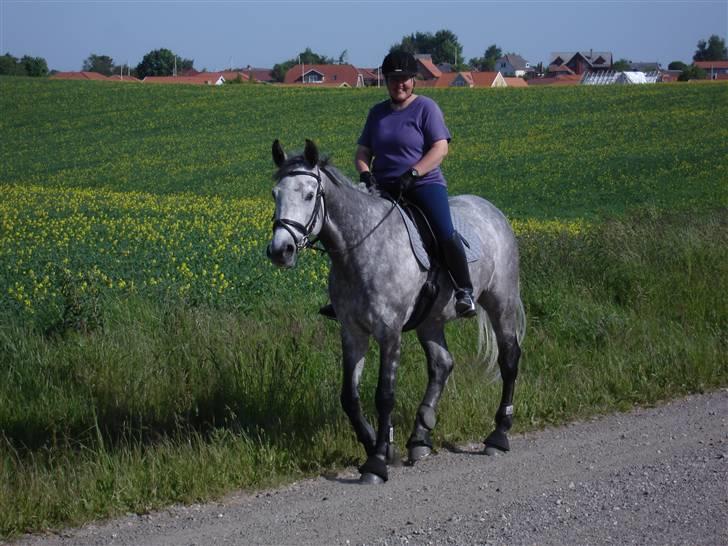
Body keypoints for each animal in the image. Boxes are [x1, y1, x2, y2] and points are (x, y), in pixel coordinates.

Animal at [266, 138, 524, 482]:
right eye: (275, 194)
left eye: (309, 195)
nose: (281, 251)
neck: (361, 248)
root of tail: (491, 210)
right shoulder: (353, 332)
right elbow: (349, 397)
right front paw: (379, 446)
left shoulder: (389, 332)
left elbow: (384, 395)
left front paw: (377, 461)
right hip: (431, 320)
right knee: (442, 364)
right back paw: (420, 438)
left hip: (501, 302)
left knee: (509, 359)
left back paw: (498, 435)